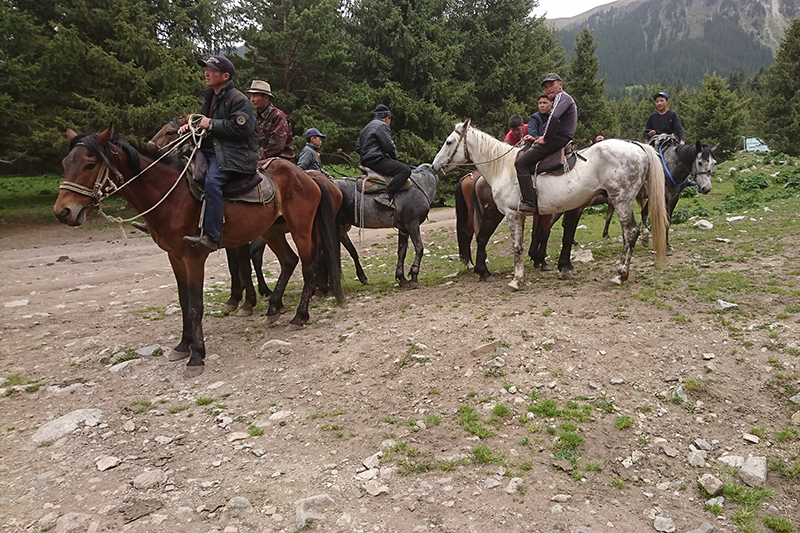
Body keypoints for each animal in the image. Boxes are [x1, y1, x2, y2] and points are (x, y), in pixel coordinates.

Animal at [54, 128, 342, 378]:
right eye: (65, 163)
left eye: (89, 165)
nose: (63, 212)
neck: (171, 195)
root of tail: (307, 177)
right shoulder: (174, 257)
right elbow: (184, 302)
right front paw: (183, 346)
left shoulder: (194, 257)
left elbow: (195, 305)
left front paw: (197, 356)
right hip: (272, 230)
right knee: (288, 261)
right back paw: (273, 308)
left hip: (300, 229)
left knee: (308, 266)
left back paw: (299, 316)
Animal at [432, 120, 668, 288]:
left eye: (449, 142)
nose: (435, 166)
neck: (503, 168)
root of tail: (637, 147)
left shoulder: (513, 214)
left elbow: (519, 246)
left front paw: (517, 280)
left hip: (621, 200)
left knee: (630, 233)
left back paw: (620, 275)